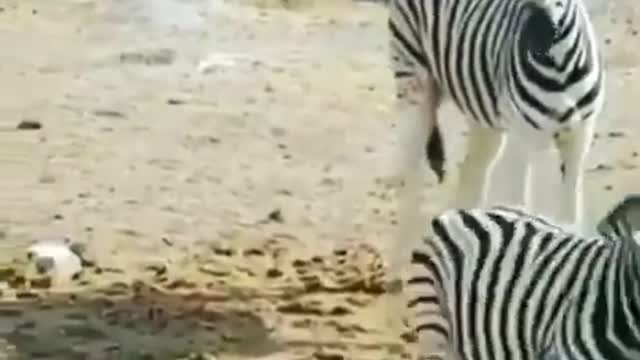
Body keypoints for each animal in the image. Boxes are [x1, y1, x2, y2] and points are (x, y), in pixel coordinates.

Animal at [382, 0, 608, 280]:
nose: (536, 39)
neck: (559, 69)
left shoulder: (579, 138)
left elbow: (570, 214)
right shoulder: (522, 140)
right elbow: (522, 212)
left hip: (481, 114)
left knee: (471, 171)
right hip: (415, 82)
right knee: (411, 171)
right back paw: (396, 268)